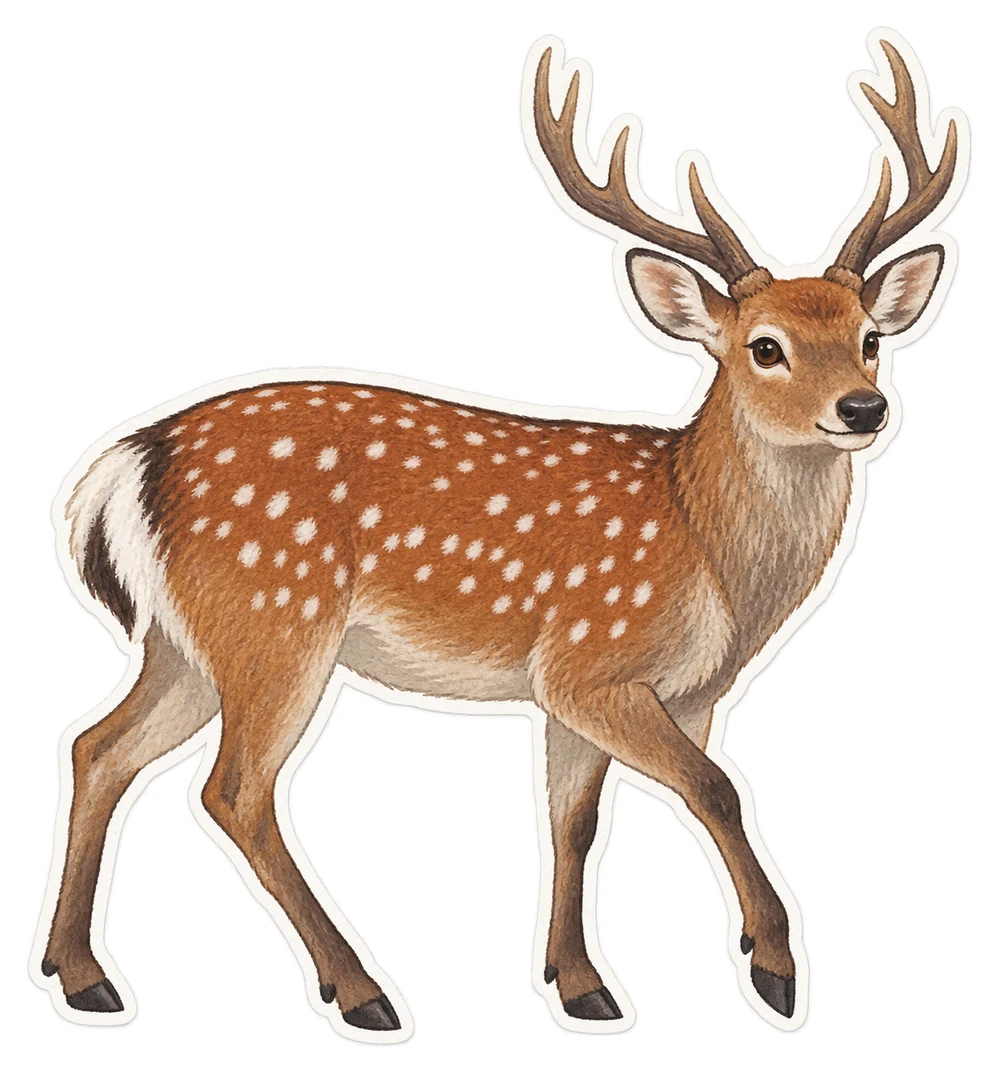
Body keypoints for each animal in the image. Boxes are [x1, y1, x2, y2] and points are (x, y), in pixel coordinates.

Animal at [32, 30, 964, 1038]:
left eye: (870, 337)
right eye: (765, 347)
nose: (864, 408)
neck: (712, 566)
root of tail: (129, 461)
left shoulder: (642, 694)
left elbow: (574, 820)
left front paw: (581, 984)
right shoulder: (594, 661)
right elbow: (714, 787)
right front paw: (775, 969)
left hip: (187, 640)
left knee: (97, 746)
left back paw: (80, 975)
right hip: (275, 617)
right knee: (231, 788)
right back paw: (362, 992)